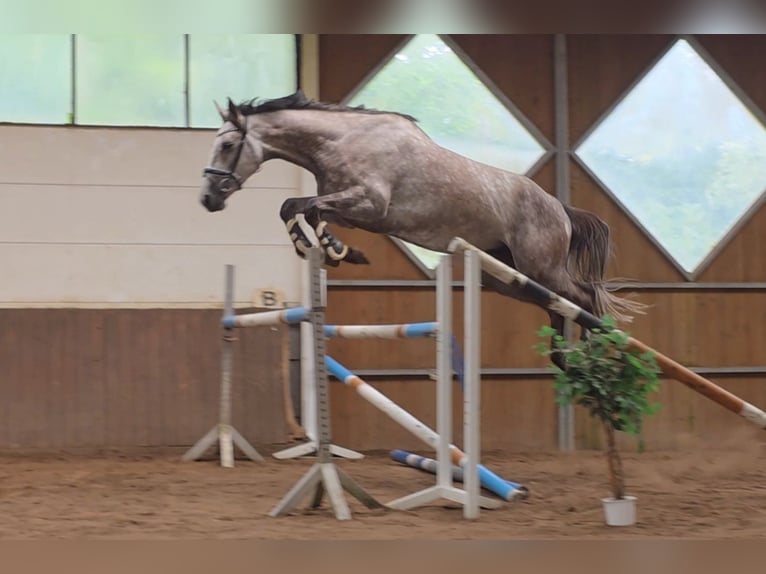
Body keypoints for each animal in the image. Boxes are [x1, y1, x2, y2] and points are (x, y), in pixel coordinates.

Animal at [199, 91, 642, 368]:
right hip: (507, 278)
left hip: (539, 269)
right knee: (558, 304)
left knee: (582, 298)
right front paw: (328, 249)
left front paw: (338, 251)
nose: (207, 199)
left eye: (227, 146)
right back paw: (564, 359)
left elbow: (307, 208)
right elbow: (296, 208)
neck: (341, 142)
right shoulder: (352, 209)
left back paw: (592, 351)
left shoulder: (368, 204)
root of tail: (560, 208)